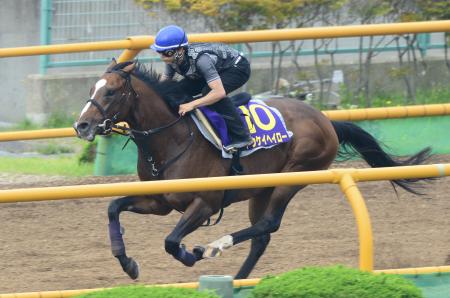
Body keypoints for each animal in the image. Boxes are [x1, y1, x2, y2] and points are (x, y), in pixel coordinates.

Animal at [74, 59, 432, 280]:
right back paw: (237, 278)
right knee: (262, 235)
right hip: (261, 189)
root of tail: (327, 120)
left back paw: (215, 246)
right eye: (90, 90)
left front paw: (192, 254)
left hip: (293, 176)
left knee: (269, 224)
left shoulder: (206, 203)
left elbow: (172, 242)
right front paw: (127, 263)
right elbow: (113, 206)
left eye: (110, 91)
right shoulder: (160, 202)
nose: (82, 125)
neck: (172, 137)